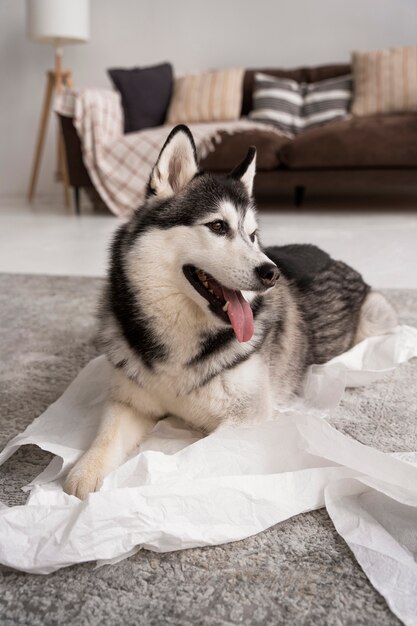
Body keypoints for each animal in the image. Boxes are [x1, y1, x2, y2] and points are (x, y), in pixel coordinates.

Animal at [63, 125, 394, 498]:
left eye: (252, 235)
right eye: (219, 226)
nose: (271, 272)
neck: (182, 338)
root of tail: (333, 257)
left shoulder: (246, 420)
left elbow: (192, 454)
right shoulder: (130, 401)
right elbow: (106, 437)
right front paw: (85, 471)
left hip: (375, 316)